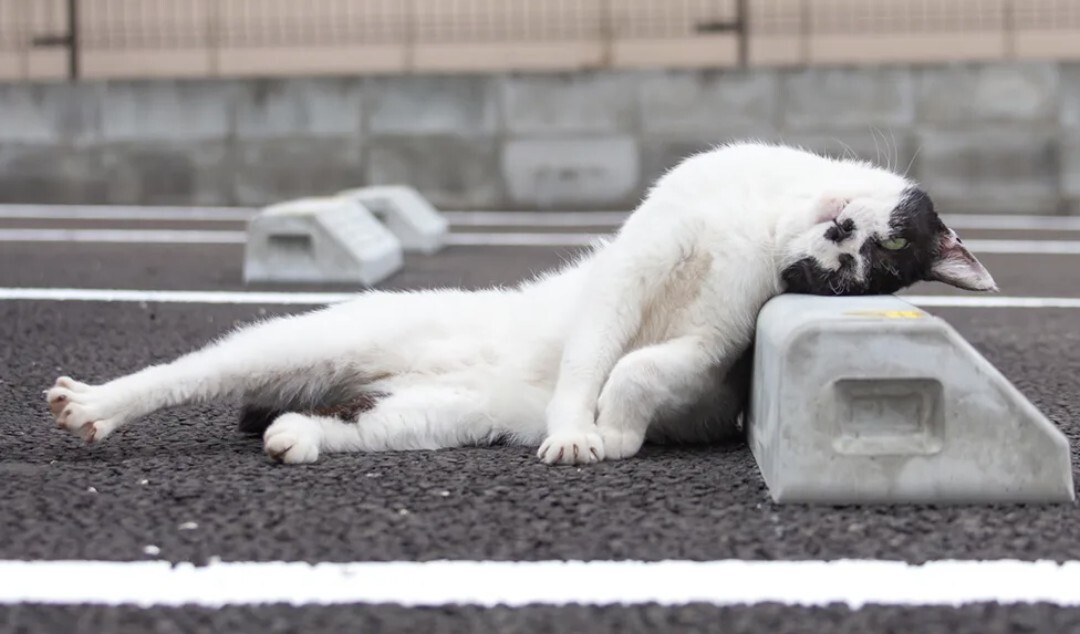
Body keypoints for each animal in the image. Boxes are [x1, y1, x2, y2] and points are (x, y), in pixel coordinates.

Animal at [44, 142, 997, 466]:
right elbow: (598, 353)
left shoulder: (716, 341)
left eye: (855, 277)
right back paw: (93, 405)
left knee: (335, 423)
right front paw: (582, 428)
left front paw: (611, 435)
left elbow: (642, 371)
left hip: (424, 420)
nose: (834, 246)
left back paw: (298, 437)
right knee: (188, 371)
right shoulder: (641, 261)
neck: (759, 220)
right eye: (871, 249)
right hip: (303, 341)